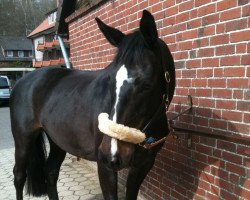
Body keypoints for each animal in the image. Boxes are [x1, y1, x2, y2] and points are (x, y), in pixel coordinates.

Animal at [10, 10, 176, 200]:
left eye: (147, 85)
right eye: (110, 80)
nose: (110, 153)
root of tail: (23, 80)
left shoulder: (142, 166)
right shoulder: (105, 167)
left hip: (57, 139)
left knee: (50, 171)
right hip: (23, 139)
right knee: (19, 176)